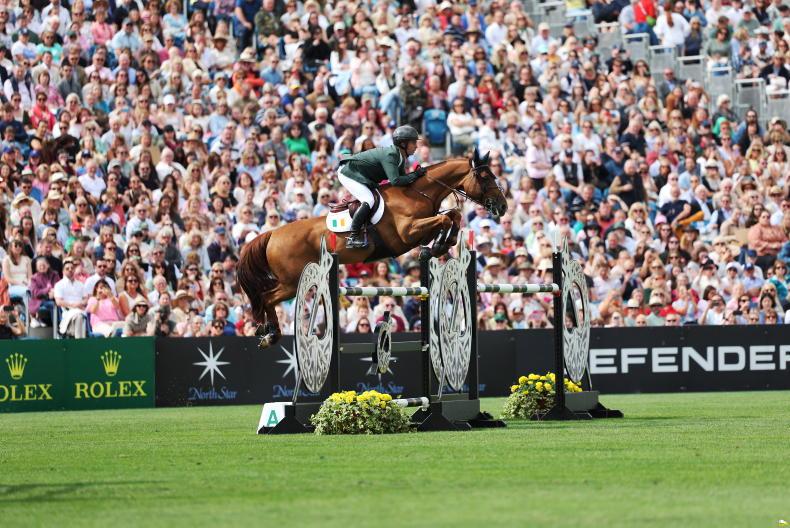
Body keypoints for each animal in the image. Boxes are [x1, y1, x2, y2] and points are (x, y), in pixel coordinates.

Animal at [238, 150, 508, 348]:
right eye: (485, 177)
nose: (503, 206)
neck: (418, 193)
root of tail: (272, 234)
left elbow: (452, 216)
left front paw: (441, 245)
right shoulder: (408, 233)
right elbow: (445, 218)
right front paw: (437, 247)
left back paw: (265, 331)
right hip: (291, 282)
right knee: (266, 297)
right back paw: (270, 334)